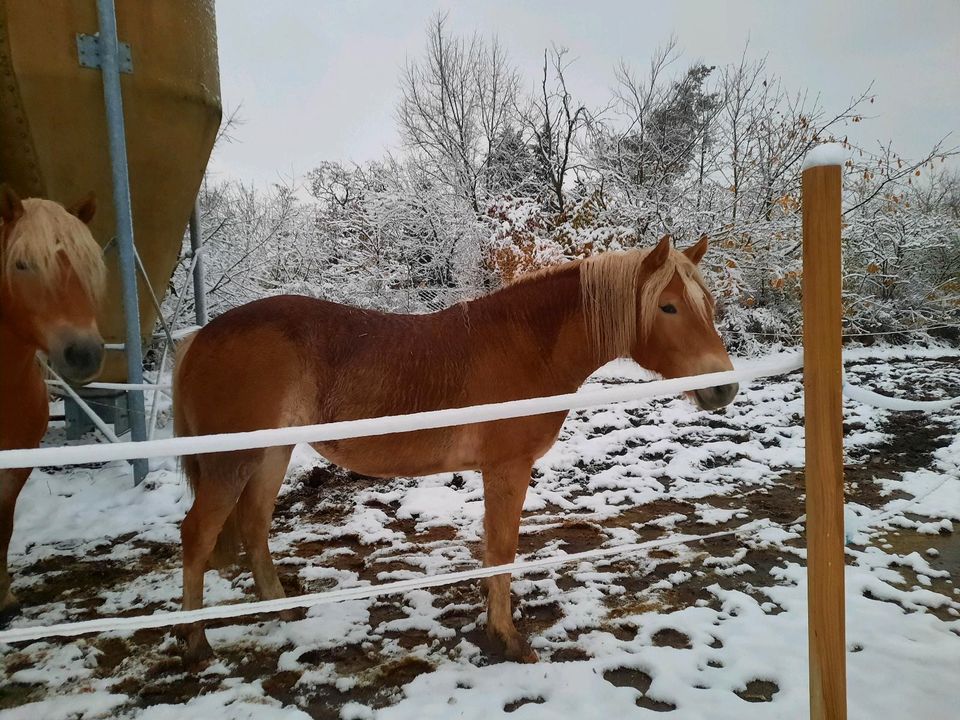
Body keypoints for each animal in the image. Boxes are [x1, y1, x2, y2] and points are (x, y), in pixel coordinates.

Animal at [176, 233, 740, 660]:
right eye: (667, 307)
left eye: (708, 306)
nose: (723, 388)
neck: (526, 345)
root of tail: (201, 338)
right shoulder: (508, 468)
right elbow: (503, 549)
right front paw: (507, 638)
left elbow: (491, 549)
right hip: (231, 462)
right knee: (198, 535)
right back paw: (195, 643)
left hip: (270, 454)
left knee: (253, 526)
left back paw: (281, 612)